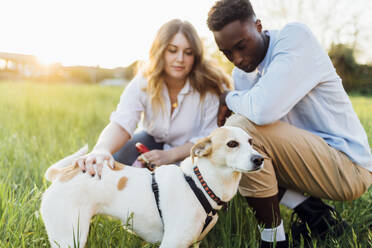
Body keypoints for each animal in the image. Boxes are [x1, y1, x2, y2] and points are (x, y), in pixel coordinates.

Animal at [40, 127, 264, 247]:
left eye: (251, 141)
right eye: (232, 144)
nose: (260, 159)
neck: (200, 184)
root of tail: (62, 174)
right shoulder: (172, 242)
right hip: (69, 237)